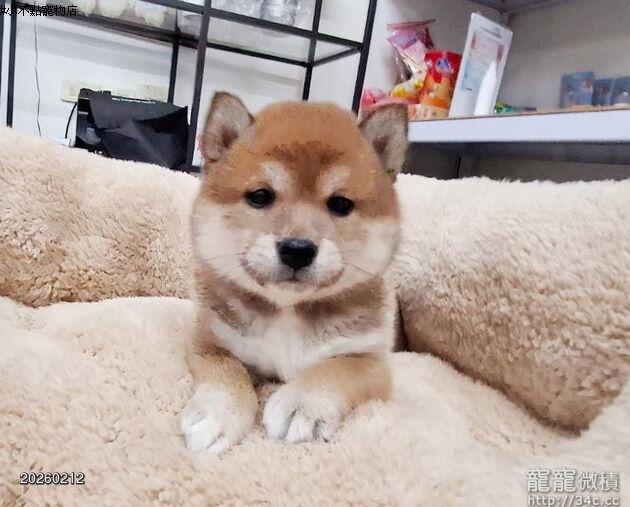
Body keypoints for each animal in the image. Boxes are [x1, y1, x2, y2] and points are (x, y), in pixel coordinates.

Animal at [180, 93, 408, 453]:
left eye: (341, 204)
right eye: (261, 196)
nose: (298, 249)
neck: (287, 312)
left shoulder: (370, 362)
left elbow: (335, 370)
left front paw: (303, 404)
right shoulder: (208, 342)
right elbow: (227, 371)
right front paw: (219, 412)